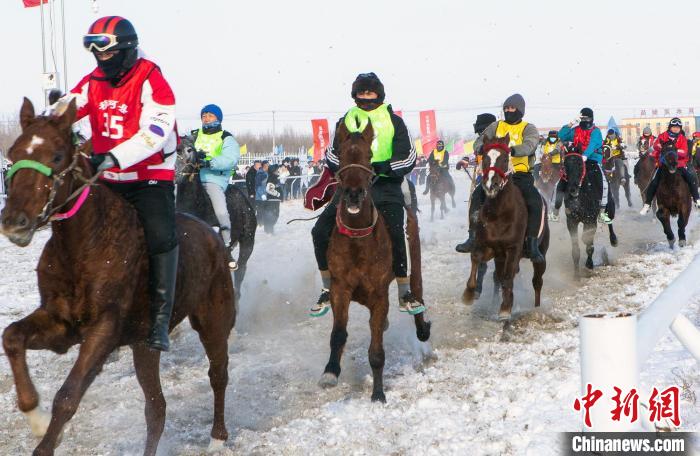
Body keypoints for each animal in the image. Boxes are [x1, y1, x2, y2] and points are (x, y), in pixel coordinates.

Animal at [0, 99, 236, 455]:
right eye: (13, 154)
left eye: (56, 156)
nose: (15, 221)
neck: (84, 244)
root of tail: (213, 235)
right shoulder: (61, 324)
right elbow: (12, 336)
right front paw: (35, 416)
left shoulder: (104, 329)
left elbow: (68, 396)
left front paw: (45, 436)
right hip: (144, 345)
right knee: (156, 408)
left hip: (214, 320)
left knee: (218, 374)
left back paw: (218, 436)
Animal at [319, 118, 431, 403]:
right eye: (342, 154)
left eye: (369, 156)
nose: (353, 194)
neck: (358, 240)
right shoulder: (340, 288)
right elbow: (338, 334)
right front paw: (330, 371)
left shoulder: (379, 293)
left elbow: (377, 350)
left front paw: (378, 393)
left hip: (413, 255)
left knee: (416, 290)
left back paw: (421, 323)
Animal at [462, 133, 549, 320]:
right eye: (485, 158)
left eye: (504, 158)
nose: (491, 185)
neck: (499, 213)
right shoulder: (488, 247)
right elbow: (476, 258)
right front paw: (469, 293)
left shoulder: (513, 249)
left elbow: (508, 276)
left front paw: (505, 308)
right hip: (500, 257)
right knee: (499, 276)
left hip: (541, 253)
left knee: (537, 281)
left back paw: (537, 308)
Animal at [560, 145, 618, 276]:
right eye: (565, 165)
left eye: (580, 164)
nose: (572, 189)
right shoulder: (571, 221)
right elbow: (576, 248)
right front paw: (576, 275)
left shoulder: (590, 220)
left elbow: (588, 243)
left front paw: (589, 265)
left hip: (610, 205)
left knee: (610, 221)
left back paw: (614, 240)